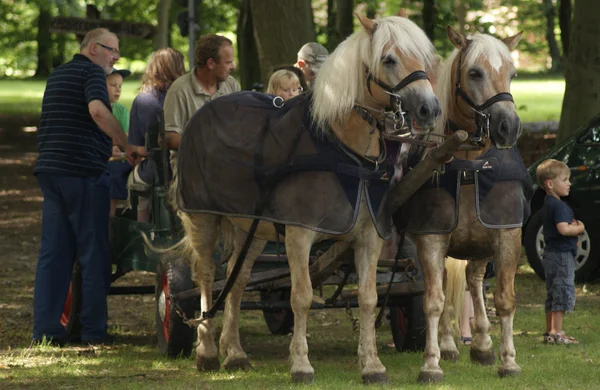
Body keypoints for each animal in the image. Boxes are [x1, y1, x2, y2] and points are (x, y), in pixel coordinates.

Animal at [173, 14, 440, 384]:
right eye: (388, 59)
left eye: (424, 58)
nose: (430, 108)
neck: (343, 149)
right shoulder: (298, 234)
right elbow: (300, 296)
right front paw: (300, 364)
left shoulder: (369, 236)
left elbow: (369, 297)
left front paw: (372, 365)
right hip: (203, 218)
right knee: (207, 278)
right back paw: (207, 351)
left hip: (252, 229)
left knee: (236, 281)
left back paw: (235, 352)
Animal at [396, 25, 528, 384]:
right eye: (475, 73)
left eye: (512, 73)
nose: (508, 127)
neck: (469, 166)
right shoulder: (430, 238)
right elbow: (433, 301)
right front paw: (431, 363)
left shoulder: (506, 234)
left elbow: (505, 298)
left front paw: (508, 360)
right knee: (446, 283)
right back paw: (449, 345)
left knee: (473, 278)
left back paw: (482, 344)